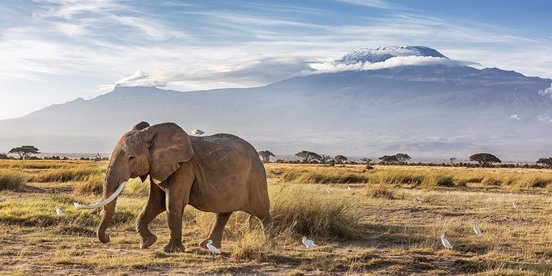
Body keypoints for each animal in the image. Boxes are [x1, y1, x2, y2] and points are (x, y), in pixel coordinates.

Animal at [80, 122, 272, 252]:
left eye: (131, 158)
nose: (108, 237)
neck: (152, 134)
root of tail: (257, 154)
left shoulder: (184, 168)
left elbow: (172, 204)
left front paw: (171, 250)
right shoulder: (158, 168)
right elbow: (154, 204)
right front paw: (147, 243)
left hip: (256, 178)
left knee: (262, 212)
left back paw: (268, 244)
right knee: (223, 212)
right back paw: (207, 246)